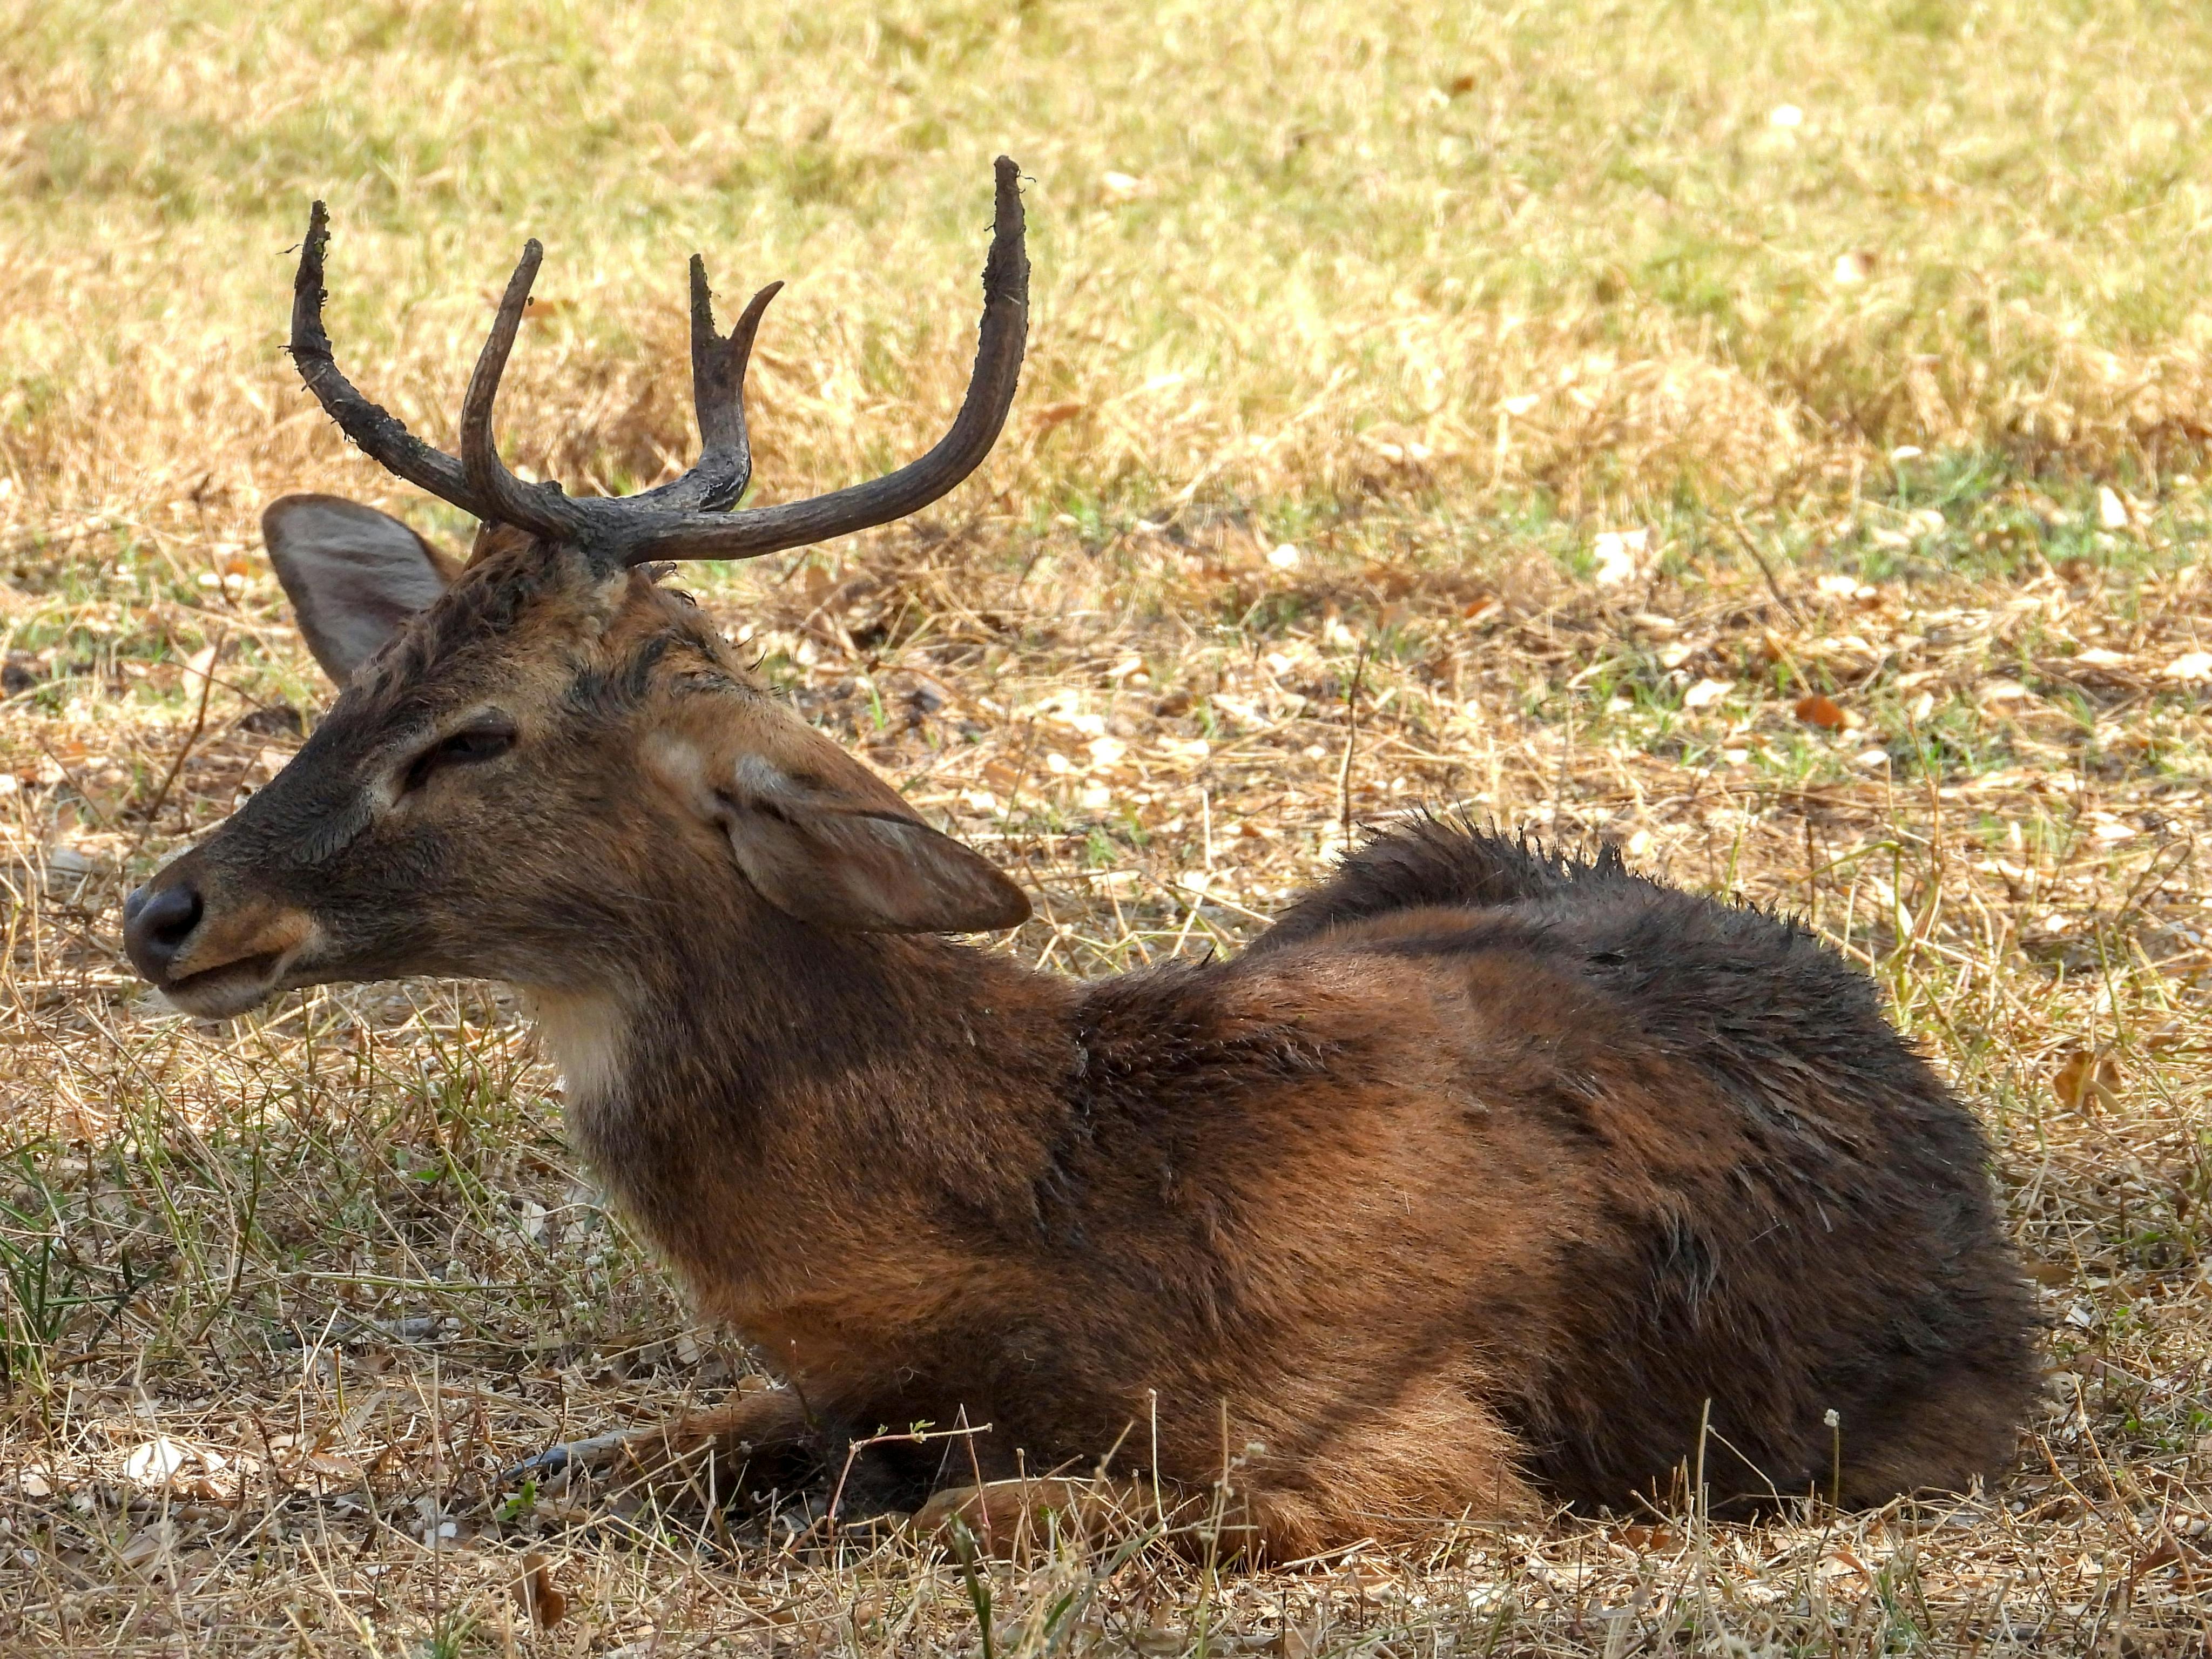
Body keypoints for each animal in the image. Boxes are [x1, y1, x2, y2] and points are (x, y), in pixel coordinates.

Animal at [121, 157, 2036, 1558]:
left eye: (476, 736)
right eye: (365, 681)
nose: (166, 909)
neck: (1053, 1220)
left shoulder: (1420, 1437)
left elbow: (979, 1518)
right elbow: (589, 1455)